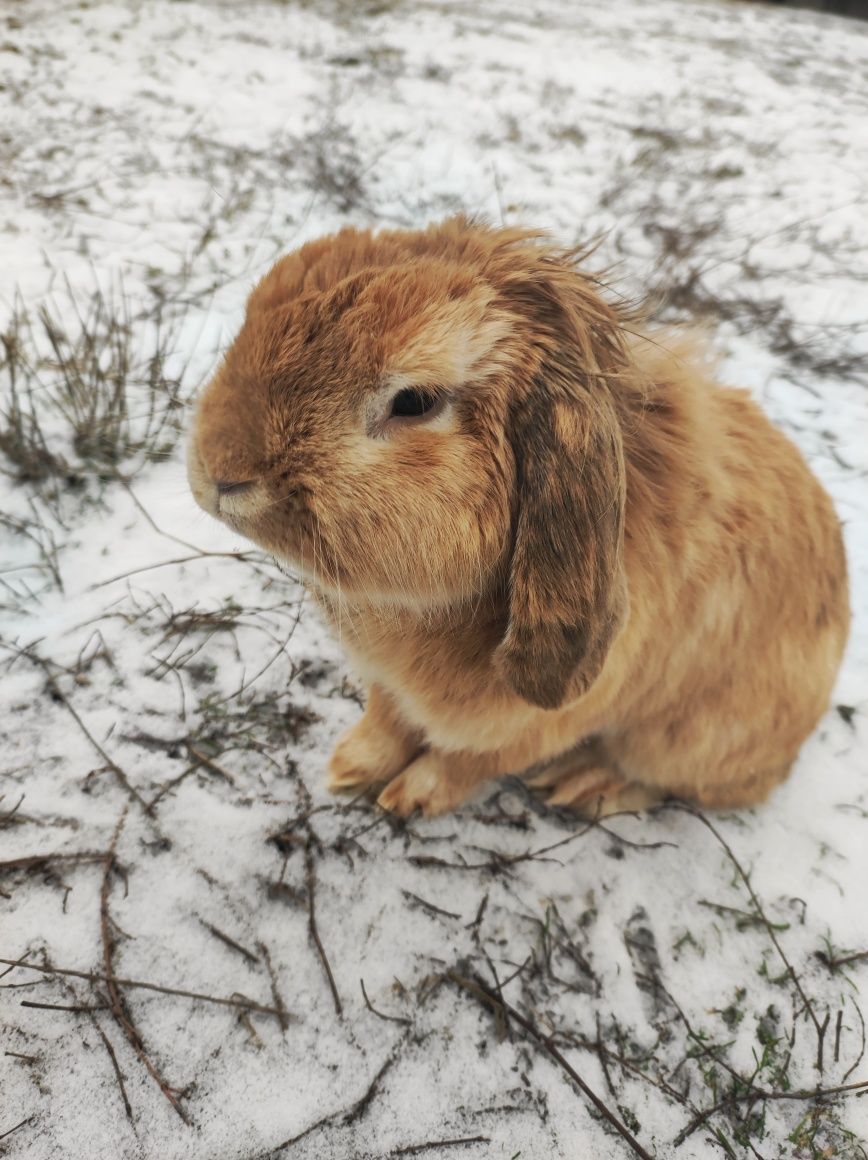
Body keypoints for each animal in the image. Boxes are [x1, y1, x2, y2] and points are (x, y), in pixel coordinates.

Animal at [187, 218, 849, 816]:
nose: (220, 472)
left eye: (414, 401)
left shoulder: (526, 725)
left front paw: (406, 800)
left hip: (685, 741)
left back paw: (586, 786)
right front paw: (348, 769)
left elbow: (460, 763)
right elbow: (386, 720)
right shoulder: (387, 687)